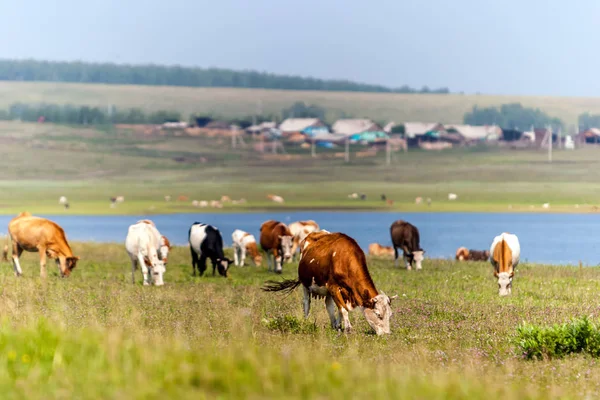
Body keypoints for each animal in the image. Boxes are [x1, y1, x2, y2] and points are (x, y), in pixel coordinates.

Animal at [264, 230, 396, 336]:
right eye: (378, 314)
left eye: (390, 315)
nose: (387, 334)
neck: (344, 258)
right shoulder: (334, 287)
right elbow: (343, 309)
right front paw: (348, 329)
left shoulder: (342, 292)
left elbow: (340, 309)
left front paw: (339, 326)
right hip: (305, 284)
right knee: (306, 303)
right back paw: (306, 322)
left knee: (328, 305)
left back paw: (334, 325)